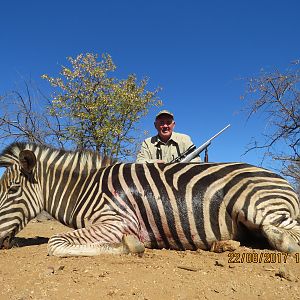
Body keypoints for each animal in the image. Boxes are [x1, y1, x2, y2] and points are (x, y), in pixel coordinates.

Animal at [0, 142, 298, 256]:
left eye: (12, 190)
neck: (84, 188)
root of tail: (282, 179)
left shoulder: (117, 222)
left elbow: (55, 243)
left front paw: (129, 246)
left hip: (254, 206)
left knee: (284, 232)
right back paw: (225, 244)